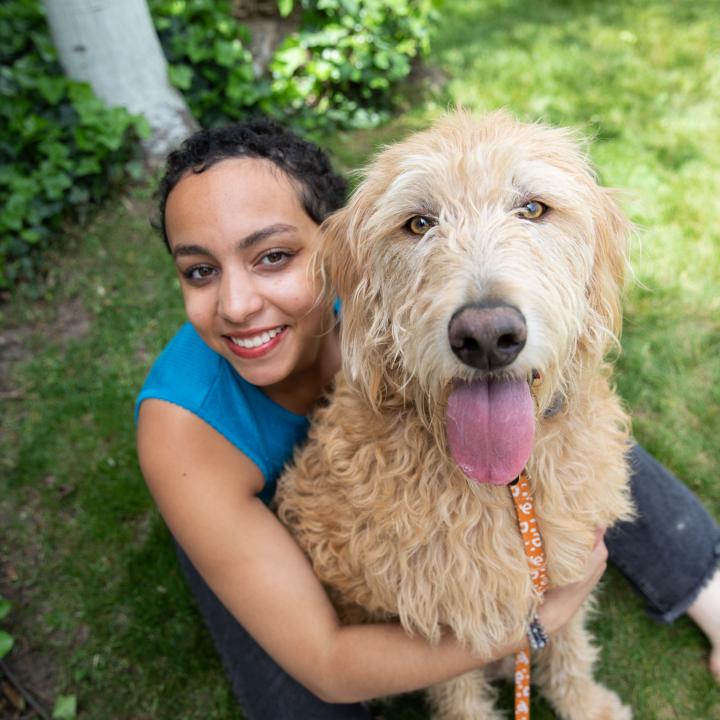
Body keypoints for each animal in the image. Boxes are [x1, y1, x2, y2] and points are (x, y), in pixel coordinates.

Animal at [278, 112, 636, 720]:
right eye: (419, 223)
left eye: (533, 209)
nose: (487, 337)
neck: (511, 488)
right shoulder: (445, 614)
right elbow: (460, 694)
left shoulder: (561, 575)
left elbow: (568, 647)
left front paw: (587, 704)